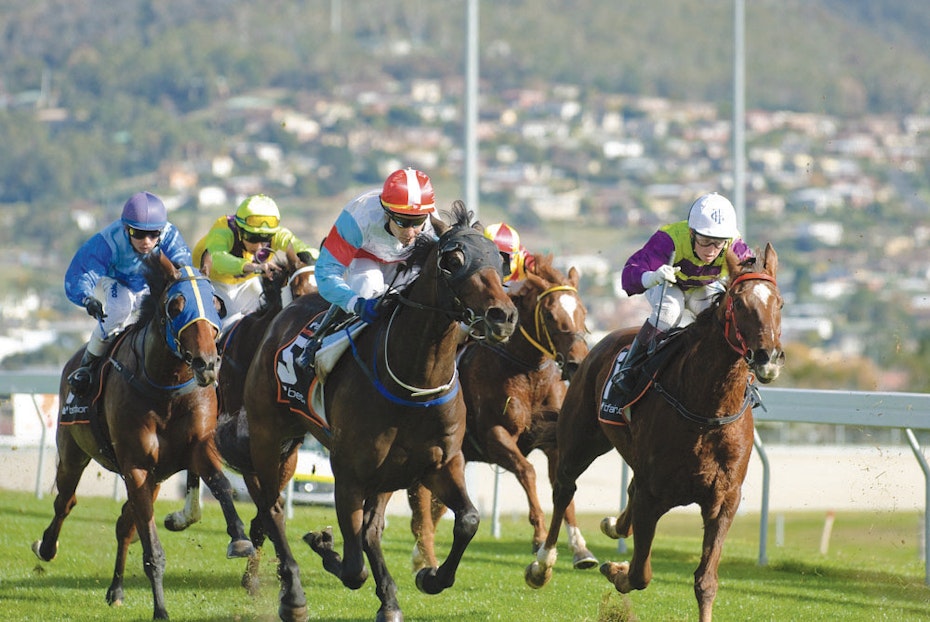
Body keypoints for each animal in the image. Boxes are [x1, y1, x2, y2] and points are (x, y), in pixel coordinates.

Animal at [31, 251, 254, 620]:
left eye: (216, 304)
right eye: (176, 306)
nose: (207, 364)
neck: (165, 389)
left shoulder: (196, 447)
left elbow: (221, 485)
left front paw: (239, 538)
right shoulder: (134, 465)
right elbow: (152, 548)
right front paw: (160, 609)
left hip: (157, 477)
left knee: (124, 524)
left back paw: (116, 590)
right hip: (74, 451)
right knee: (65, 500)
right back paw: (47, 546)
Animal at [225, 202, 516, 620]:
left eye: (498, 260)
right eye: (454, 259)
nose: (502, 316)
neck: (413, 381)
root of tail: (283, 312)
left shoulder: (440, 463)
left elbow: (468, 520)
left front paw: (429, 577)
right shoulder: (349, 473)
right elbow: (352, 566)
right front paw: (322, 544)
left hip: (373, 467)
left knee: (369, 529)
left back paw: (389, 601)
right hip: (269, 436)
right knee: (272, 507)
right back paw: (293, 593)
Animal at [404, 255, 596, 576]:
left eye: (582, 311)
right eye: (549, 314)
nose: (577, 363)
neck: (527, 373)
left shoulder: (553, 442)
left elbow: (563, 486)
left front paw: (580, 548)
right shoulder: (495, 435)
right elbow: (527, 472)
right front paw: (539, 538)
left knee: (435, 506)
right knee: (419, 502)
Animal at [520, 244, 784, 622]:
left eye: (780, 303)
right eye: (739, 302)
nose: (768, 358)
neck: (706, 410)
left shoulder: (724, 499)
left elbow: (706, 581)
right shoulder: (652, 494)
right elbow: (639, 574)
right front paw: (615, 570)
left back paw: (612, 526)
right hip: (580, 441)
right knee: (564, 489)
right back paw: (544, 564)